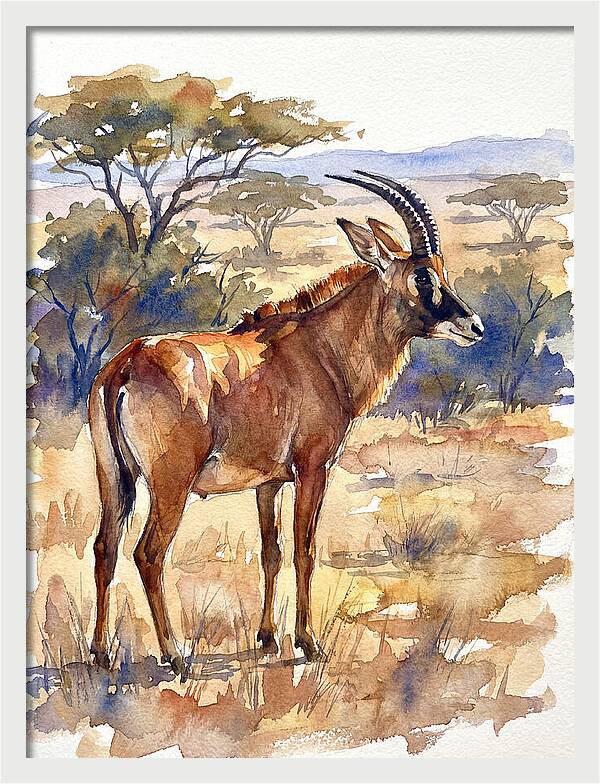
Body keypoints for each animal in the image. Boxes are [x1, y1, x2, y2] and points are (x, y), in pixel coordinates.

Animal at [89, 171, 484, 673]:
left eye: (442, 271)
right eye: (421, 276)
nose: (474, 326)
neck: (320, 348)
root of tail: (124, 366)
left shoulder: (269, 482)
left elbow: (271, 553)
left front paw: (266, 637)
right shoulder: (313, 468)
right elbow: (305, 551)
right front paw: (308, 642)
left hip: (113, 478)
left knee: (105, 547)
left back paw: (100, 653)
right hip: (170, 484)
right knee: (149, 554)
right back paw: (175, 656)